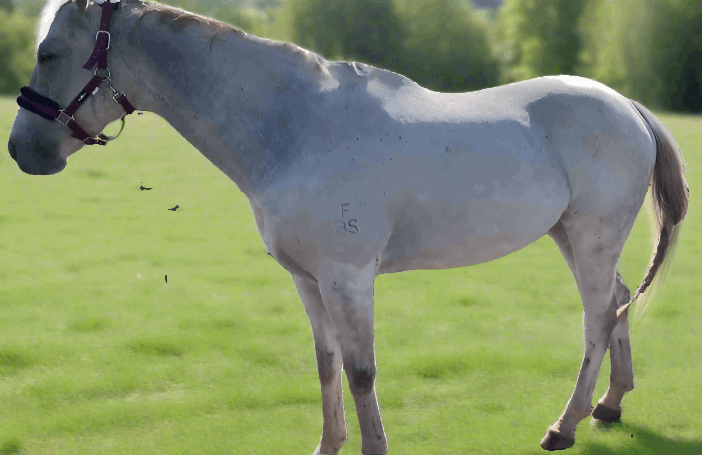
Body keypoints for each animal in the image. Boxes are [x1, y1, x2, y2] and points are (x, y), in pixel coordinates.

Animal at [6, 0, 688, 454]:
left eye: (49, 52)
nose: (21, 151)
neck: (295, 126)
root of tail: (627, 106)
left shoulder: (348, 277)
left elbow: (362, 372)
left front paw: (372, 447)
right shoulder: (308, 280)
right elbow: (326, 364)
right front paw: (328, 445)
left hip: (592, 238)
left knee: (598, 317)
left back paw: (563, 426)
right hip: (570, 236)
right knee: (618, 303)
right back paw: (609, 406)